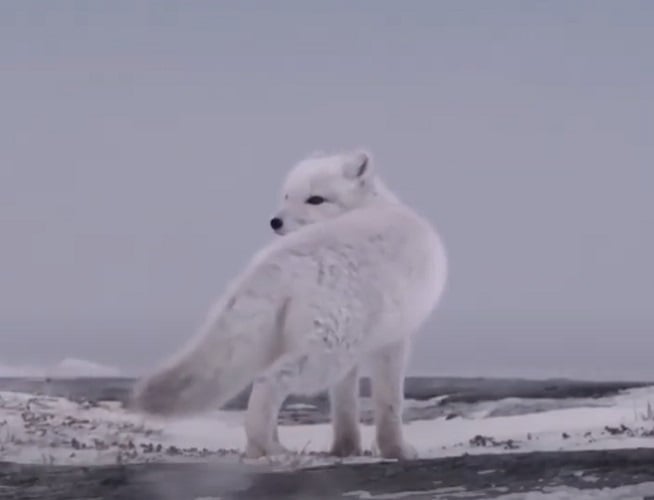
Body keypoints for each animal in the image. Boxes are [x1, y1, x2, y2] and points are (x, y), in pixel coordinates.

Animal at [133, 149, 452, 460]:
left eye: (315, 199)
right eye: (287, 195)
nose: (275, 221)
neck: (373, 205)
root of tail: (280, 263)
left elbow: (344, 403)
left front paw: (346, 448)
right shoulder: (394, 340)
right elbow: (389, 401)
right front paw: (396, 450)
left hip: (286, 339)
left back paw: (269, 445)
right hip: (325, 350)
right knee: (269, 381)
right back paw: (264, 447)